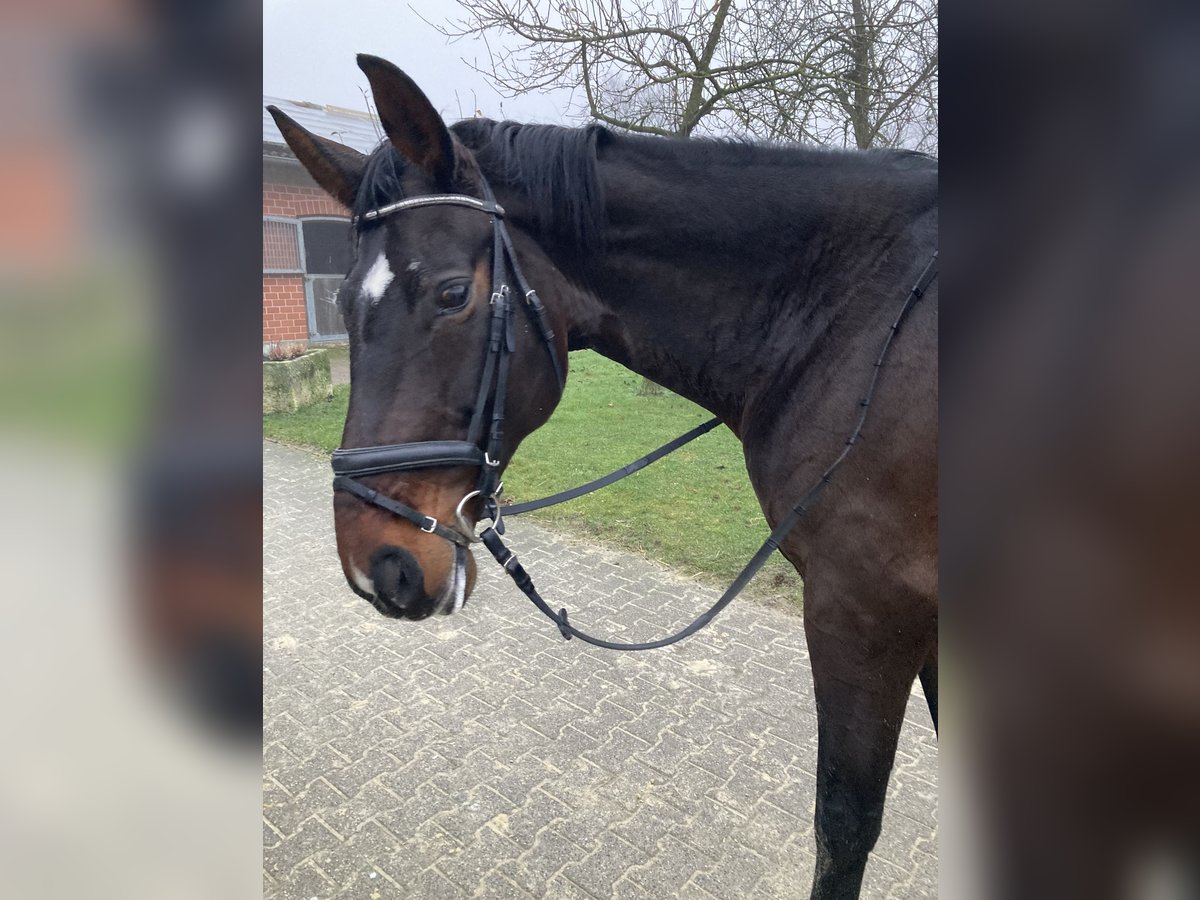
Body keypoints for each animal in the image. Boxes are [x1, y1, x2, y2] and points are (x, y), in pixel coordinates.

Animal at [270, 54, 936, 900]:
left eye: (452, 293)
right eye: (343, 302)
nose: (377, 566)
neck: (859, 317)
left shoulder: (865, 610)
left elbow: (843, 826)